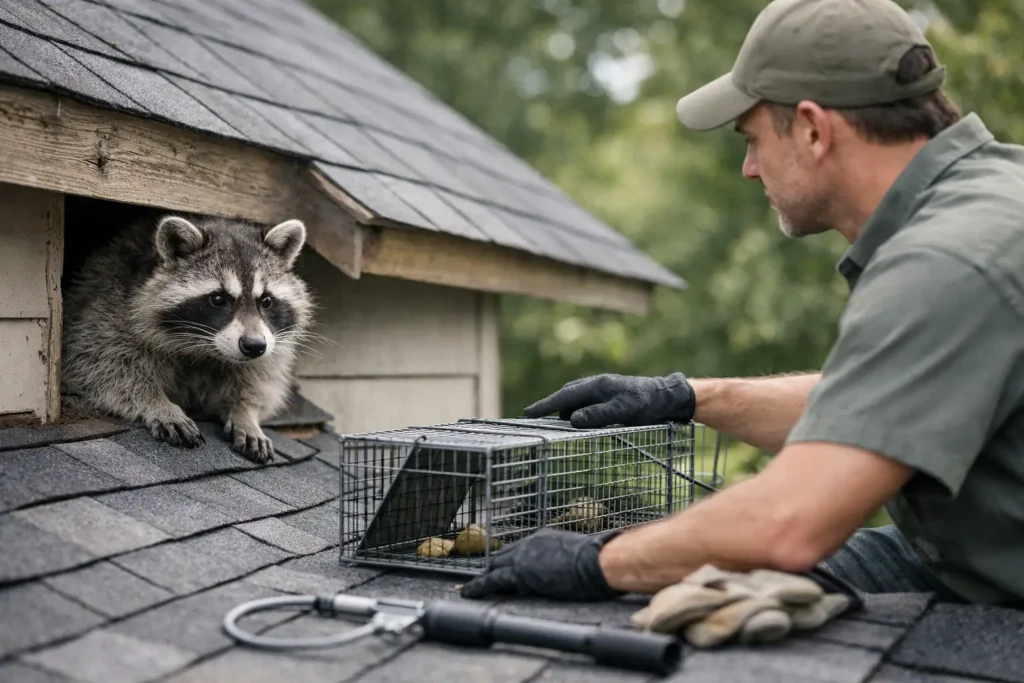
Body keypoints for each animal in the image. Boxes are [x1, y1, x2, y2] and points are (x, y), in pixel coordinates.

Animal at [61, 211, 314, 463]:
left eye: (266, 301)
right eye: (218, 299)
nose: (254, 346)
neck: (205, 349)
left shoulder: (270, 341)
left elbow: (260, 376)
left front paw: (246, 413)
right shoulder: (108, 309)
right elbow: (103, 365)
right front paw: (156, 402)